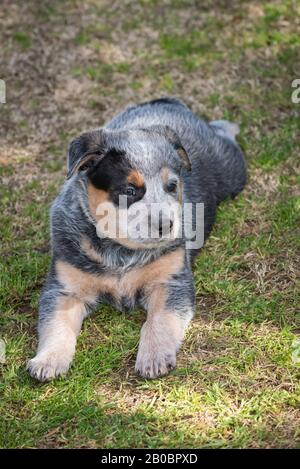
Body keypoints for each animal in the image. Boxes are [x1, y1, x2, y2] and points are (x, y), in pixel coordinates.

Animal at [27, 98, 246, 380]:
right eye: (130, 190)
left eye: (172, 186)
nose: (167, 224)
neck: (121, 252)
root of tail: (167, 102)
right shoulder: (65, 287)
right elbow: (56, 323)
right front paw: (48, 360)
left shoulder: (171, 280)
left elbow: (159, 320)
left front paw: (154, 357)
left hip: (233, 171)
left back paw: (228, 125)